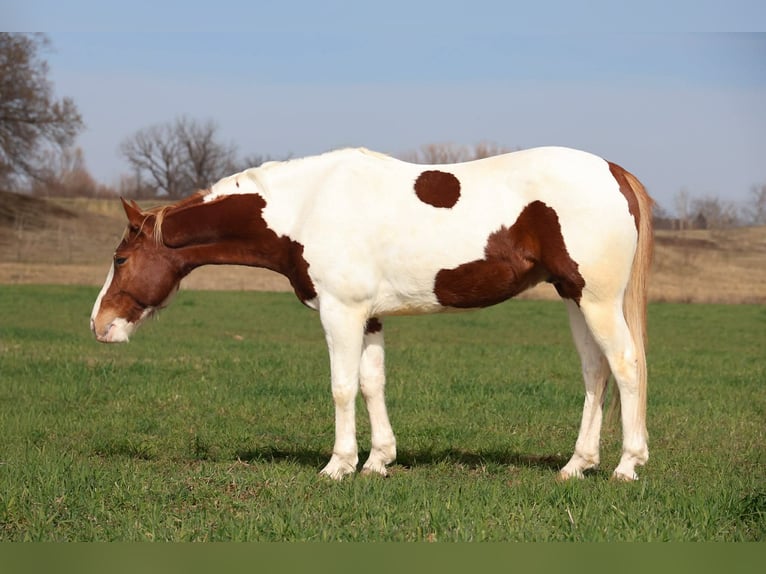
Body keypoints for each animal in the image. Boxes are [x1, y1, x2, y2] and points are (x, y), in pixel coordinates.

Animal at [90, 146, 653, 481]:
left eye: (120, 259)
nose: (99, 325)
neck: (306, 206)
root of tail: (614, 171)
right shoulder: (369, 316)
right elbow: (371, 383)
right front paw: (378, 461)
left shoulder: (340, 314)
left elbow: (341, 387)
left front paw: (338, 465)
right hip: (574, 298)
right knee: (596, 373)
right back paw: (576, 465)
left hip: (597, 301)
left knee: (625, 367)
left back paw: (627, 465)